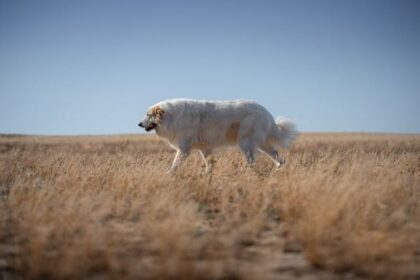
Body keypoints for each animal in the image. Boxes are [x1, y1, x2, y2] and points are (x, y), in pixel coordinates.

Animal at [138, 98, 296, 173]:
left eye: (148, 115)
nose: (139, 124)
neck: (172, 117)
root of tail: (266, 112)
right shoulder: (204, 149)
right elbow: (209, 164)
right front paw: (207, 175)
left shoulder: (184, 149)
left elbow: (175, 164)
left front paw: (168, 174)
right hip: (261, 144)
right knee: (276, 154)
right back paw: (279, 168)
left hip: (246, 143)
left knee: (251, 161)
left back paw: (246, 172)